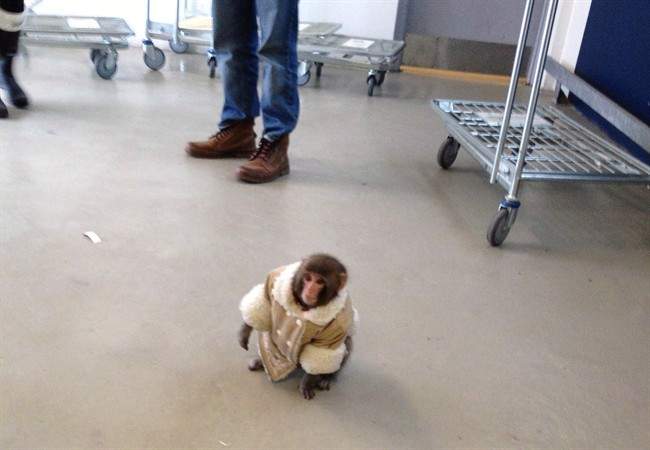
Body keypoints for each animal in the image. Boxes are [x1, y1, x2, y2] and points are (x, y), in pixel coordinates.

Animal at [238, 254, 359, 400]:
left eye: (320, 282)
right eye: (308, 278)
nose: (310, 289)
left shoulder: (338, 324)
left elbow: (320, 353)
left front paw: (307, 383)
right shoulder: (274, 279)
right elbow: (264, 300)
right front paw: (244, 331)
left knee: (346, 345)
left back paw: (327, 377)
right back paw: (261, 361)